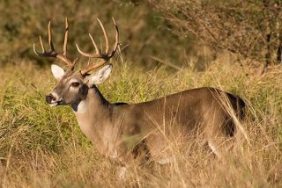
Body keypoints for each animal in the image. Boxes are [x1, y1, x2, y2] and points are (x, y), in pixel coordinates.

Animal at [32, 18, 245, 168]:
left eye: (75, 83)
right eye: (58, 80)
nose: (50, 97)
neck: (108, 123)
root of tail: (237, 100)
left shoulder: (137, 156)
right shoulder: (121, 165)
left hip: (220, 133)